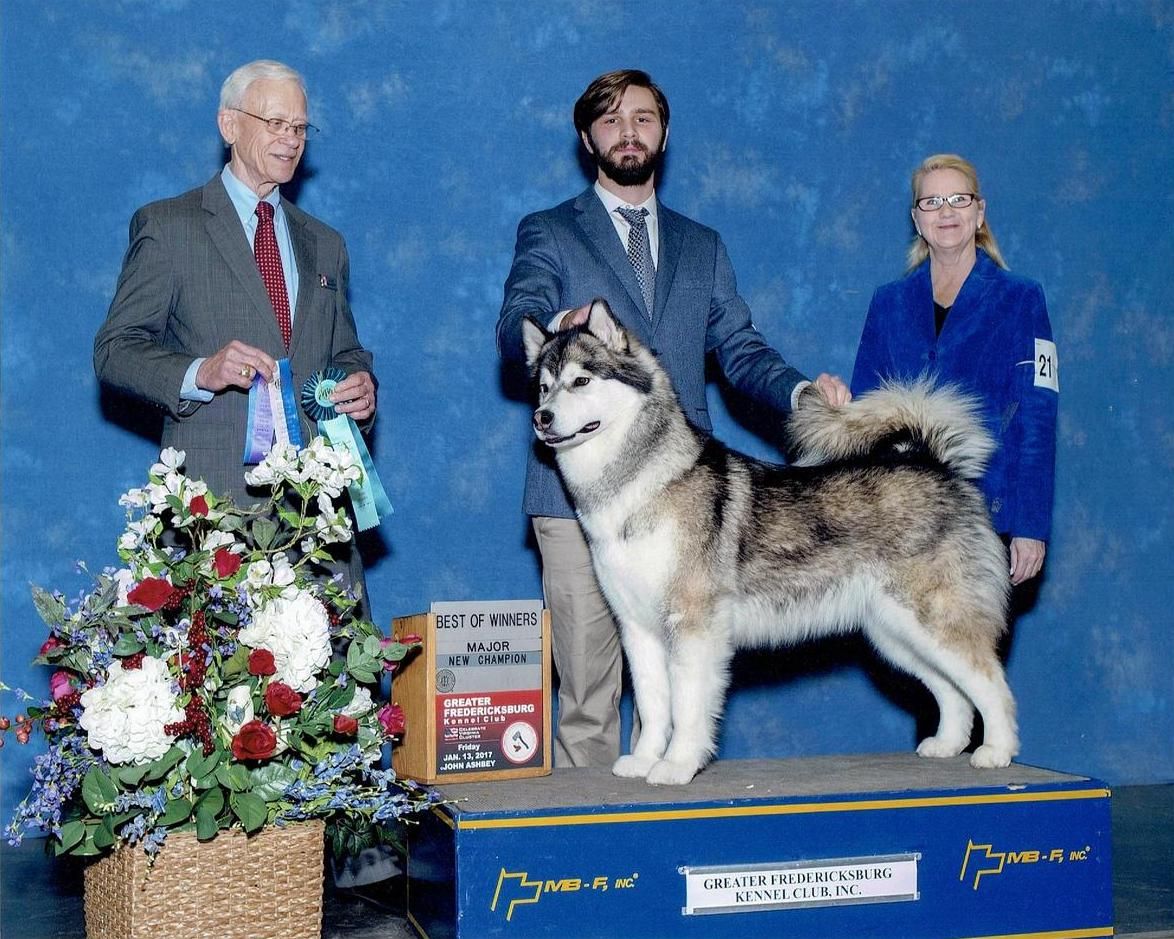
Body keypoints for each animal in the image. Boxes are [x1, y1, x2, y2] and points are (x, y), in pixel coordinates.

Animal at [522, 300, 1017, 786]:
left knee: (991, 684)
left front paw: (677, 766)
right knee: (953, 691)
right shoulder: (638, 629)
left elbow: (686, 707)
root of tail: (935, 464)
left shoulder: (694, 626)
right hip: (895, 634)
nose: (541, 418)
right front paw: (644, 761)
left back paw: (997, 752)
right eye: (544, 388)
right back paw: (946, 745)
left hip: (934, 620)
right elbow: (653, 705)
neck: (639, 485)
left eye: (581, 381)